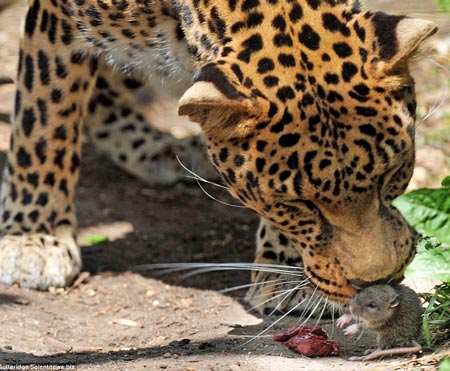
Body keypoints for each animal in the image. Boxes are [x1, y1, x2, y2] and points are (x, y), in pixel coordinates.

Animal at [0, 0, 438, 316]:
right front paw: (33, 237)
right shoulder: (58, 21)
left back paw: (155, 147)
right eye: (299, 204)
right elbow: (45, 116)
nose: (378, 281)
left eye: (391, 175)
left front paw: (285, 271)